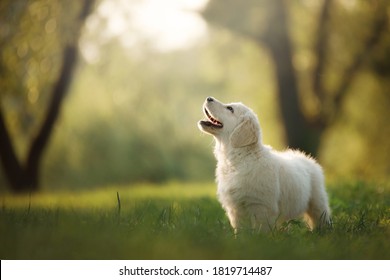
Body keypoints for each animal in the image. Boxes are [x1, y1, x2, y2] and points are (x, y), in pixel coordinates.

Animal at [198, 96, 332, 232]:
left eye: (230, 108)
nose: (209, 98)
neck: (239, 158)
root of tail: (305, 156)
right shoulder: (235, 208)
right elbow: (241, 230)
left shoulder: (261, 206)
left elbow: (261, 229)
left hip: (317, 198)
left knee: (320, 214)